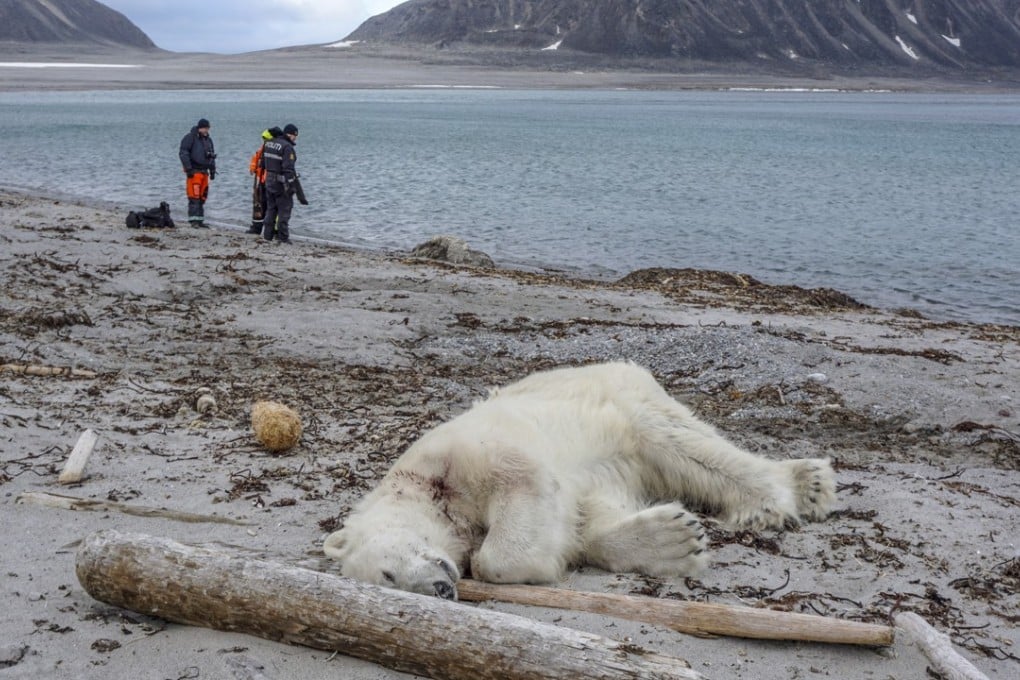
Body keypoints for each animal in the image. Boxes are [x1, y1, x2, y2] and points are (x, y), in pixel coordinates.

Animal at [324, 361, 836, 600]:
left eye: (387, 574)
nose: (440, 589)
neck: (424, 488)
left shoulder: (462, 454)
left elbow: (520, 492)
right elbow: (587, 518)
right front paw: (672, 539)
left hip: (623, 400)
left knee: (682, 445)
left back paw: (797, 488)